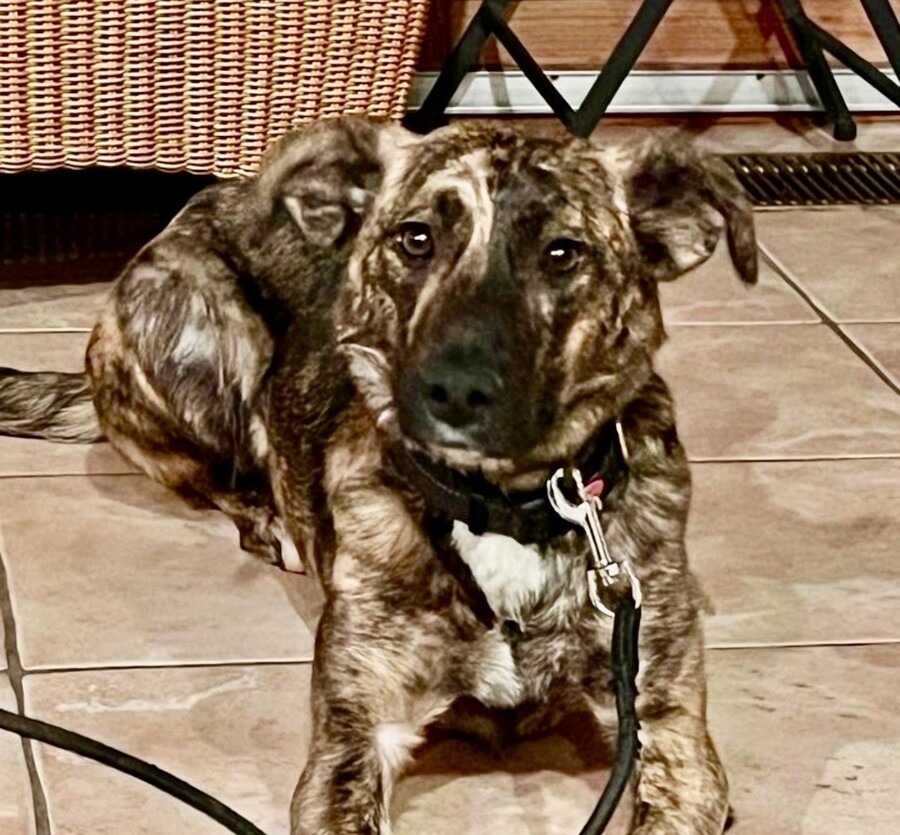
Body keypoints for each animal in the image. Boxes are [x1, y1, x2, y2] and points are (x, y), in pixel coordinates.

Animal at [0, 117, 756, 834]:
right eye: (415, 239)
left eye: (562, 252)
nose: (455, 390)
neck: (499, 505)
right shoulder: (352, 739)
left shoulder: (671, 735)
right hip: (211, 329)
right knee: (208, 469)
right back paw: (269, 516)